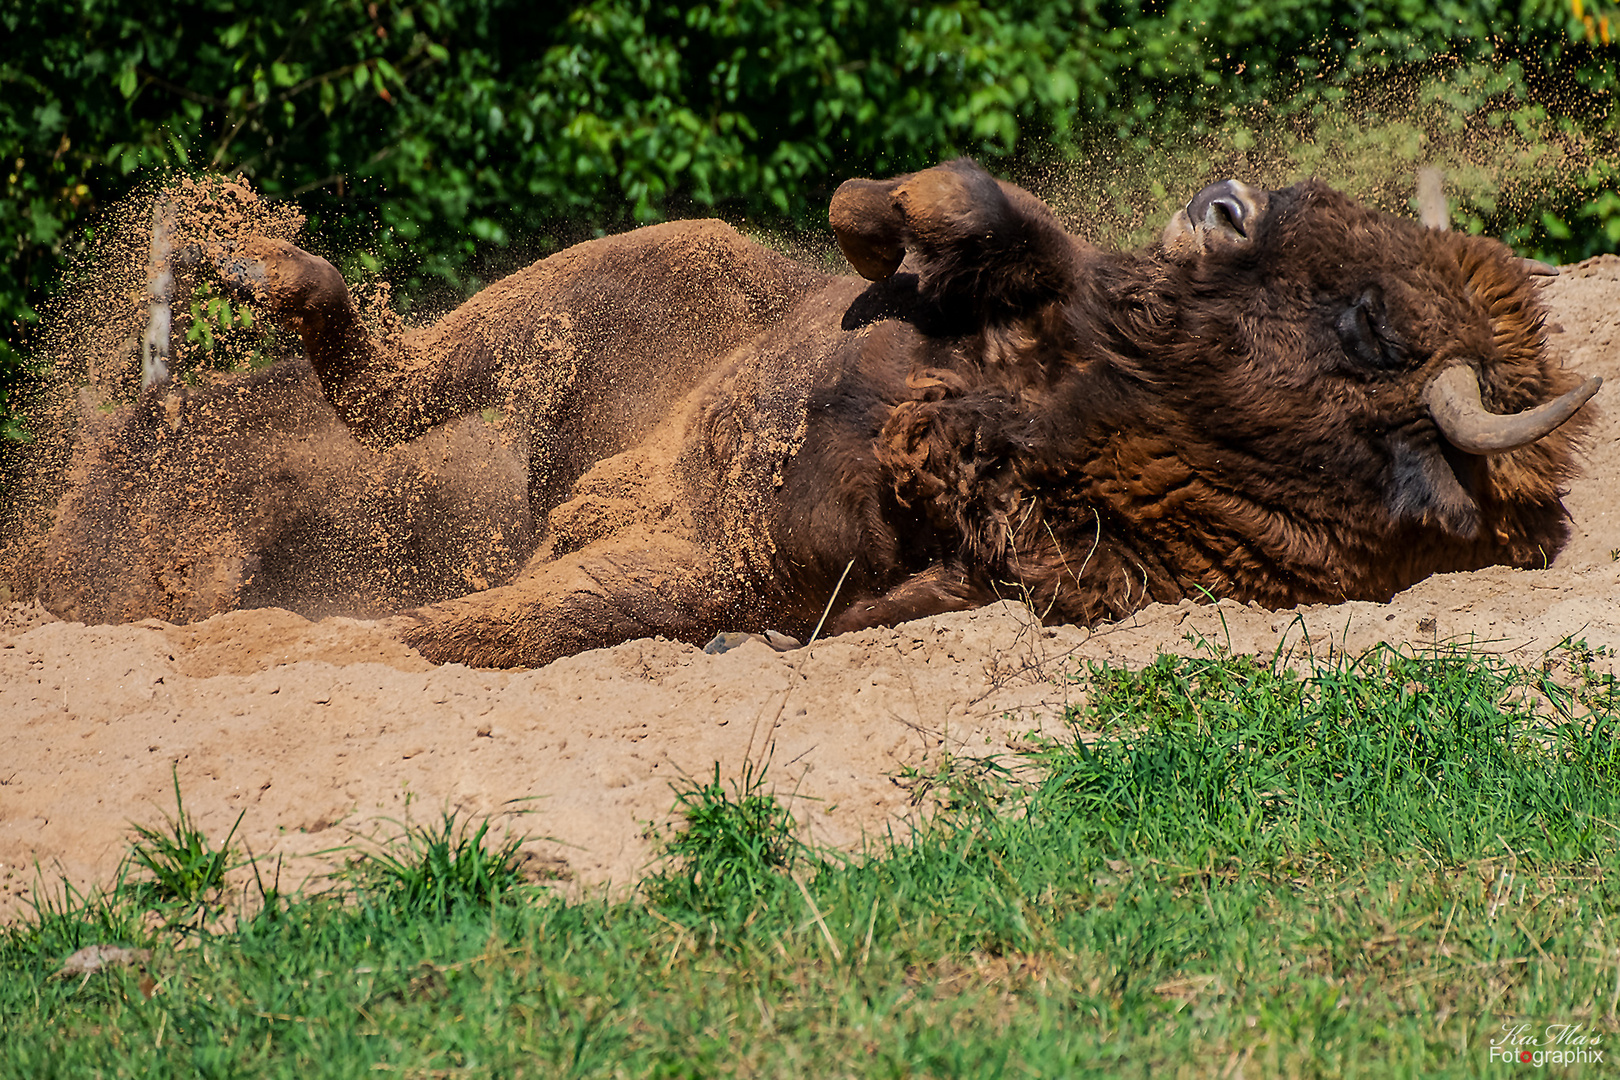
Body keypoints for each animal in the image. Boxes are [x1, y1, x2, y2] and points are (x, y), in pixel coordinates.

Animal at [25, 159, 1594, 667]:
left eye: (1368, 325)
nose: (1225, 201)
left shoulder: (753, 563)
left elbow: (555, 619)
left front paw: (432, 635)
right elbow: (976, 209)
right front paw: (880, 225)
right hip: (617, 287)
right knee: (403, 375)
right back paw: (256, 262)